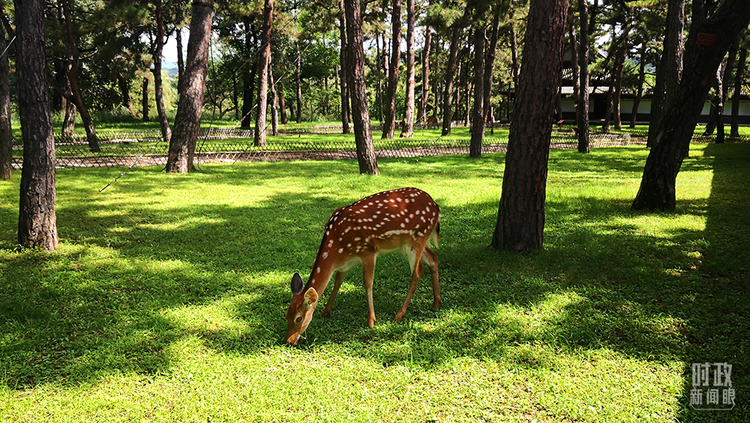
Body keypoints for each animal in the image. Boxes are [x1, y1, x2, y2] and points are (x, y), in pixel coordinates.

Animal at [286, 188, 440, 344]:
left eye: (298, 318)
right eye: (286, 314)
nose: (289, 341)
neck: (337, 248)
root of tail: (435, 206)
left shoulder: (368, 251)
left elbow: (368, 283)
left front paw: (371, 321)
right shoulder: (345, 264)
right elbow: (337, 282)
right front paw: (326, 311)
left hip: (417, 238)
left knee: (417, 272)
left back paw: (399, 315)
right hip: (415, 241)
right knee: (433, 258)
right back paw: (436, 304)